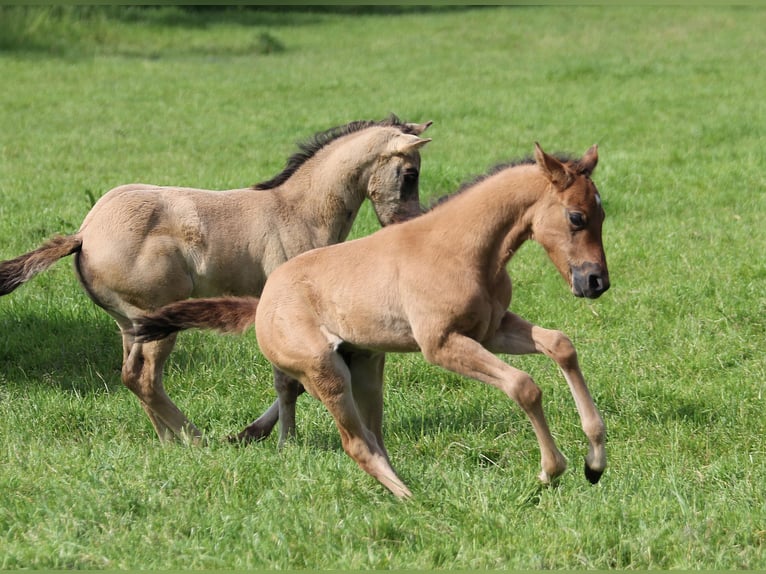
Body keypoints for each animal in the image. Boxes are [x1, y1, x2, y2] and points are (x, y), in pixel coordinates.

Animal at [0, 115, 432, 444]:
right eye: (410, 173)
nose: (408, 223)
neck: (298, 211)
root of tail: (84, 233)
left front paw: (254, 433)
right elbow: (289, 382)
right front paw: (283, 442)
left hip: (129, 325)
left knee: (132, 376)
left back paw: (169, 440)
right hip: (158, 318)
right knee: (144, 378)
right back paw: (194, 438)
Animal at [134, 142, 612, 498]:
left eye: (603, 215)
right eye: (576, 217)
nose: (595, 282)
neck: (459, 247)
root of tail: (262, 303)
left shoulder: (491, 330)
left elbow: (560, 344)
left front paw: (594, 462)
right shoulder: (442, 344)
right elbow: (524, 386)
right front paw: (550, 471)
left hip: (366, 367)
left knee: (374, 437)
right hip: (326, 373)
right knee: (356, 443)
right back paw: (413, 500)